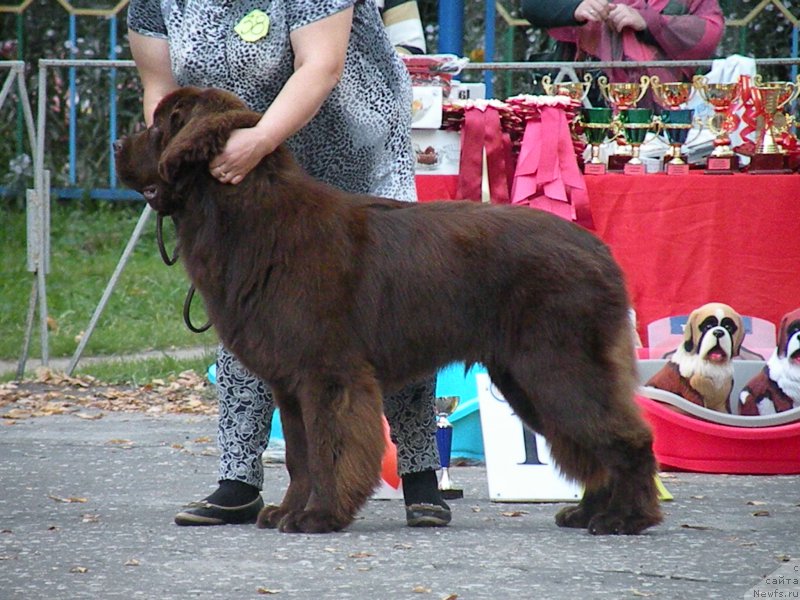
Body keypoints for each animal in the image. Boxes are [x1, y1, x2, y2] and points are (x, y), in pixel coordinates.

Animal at [114, 85, 664, 536]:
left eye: (160, 127)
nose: (118, 145)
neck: (249, 218)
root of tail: (601, 252)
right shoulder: (291, 384)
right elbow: (299, 456)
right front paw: (287, 512)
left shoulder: (329, 375)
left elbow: (329, 449)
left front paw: (319, 516)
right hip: (527, 378)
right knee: (592, 441)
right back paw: (589, 511)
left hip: (556, 365)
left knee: (623, 435)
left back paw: (626, 518)